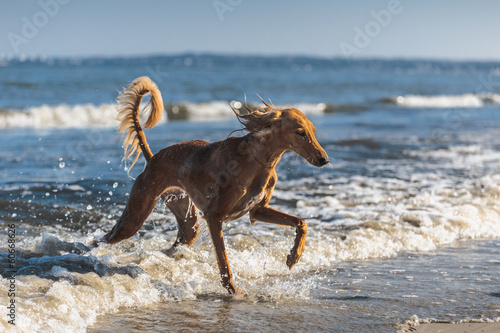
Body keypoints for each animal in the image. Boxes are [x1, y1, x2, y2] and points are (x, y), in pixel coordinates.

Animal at [104, 76, 330, 294]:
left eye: (313, 131)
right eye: (300, 132)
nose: (324, 160)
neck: (257, 160)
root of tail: (153, 158)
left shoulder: (258, 211)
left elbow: (302, 222)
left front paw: (294, 255)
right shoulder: (214, 217)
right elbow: (224, 262)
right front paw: (232, 290)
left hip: (188, 224)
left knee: (171, 247)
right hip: (133, 218)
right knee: (104, 238)